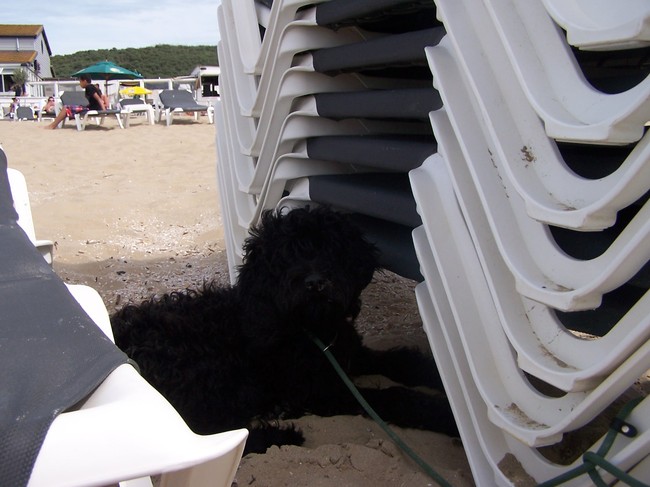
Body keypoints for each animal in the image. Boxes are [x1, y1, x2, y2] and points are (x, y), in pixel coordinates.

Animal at [111, 206, 457, 453]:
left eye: (332, 250)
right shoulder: (320, 391)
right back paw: (278, 433)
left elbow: (403, 360)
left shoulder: (349, 355)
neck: (311, 330)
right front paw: (445, 415)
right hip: (209, 368)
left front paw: (437, 376)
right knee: (206, 430)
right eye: (287, 256)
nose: (315, 283)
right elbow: (394, 396)